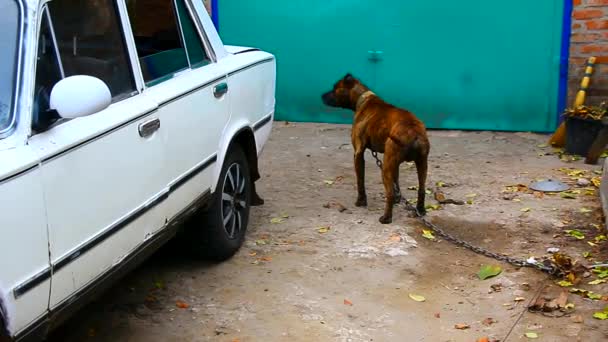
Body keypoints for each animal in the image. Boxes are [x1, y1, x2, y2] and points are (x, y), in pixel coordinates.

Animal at [320, 73, 430, 223]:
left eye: (335, 88)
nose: (322, 95)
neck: (363, 99)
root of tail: (414, 132)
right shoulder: (395, 164)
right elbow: (396, 181)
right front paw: (398, 199)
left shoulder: (358, 153)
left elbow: (360, 181)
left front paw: (361, 201)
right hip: (421, 164)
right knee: (422, 188)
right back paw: (420, 210)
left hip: (386, 167)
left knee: (389, 192)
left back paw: (386, 218)